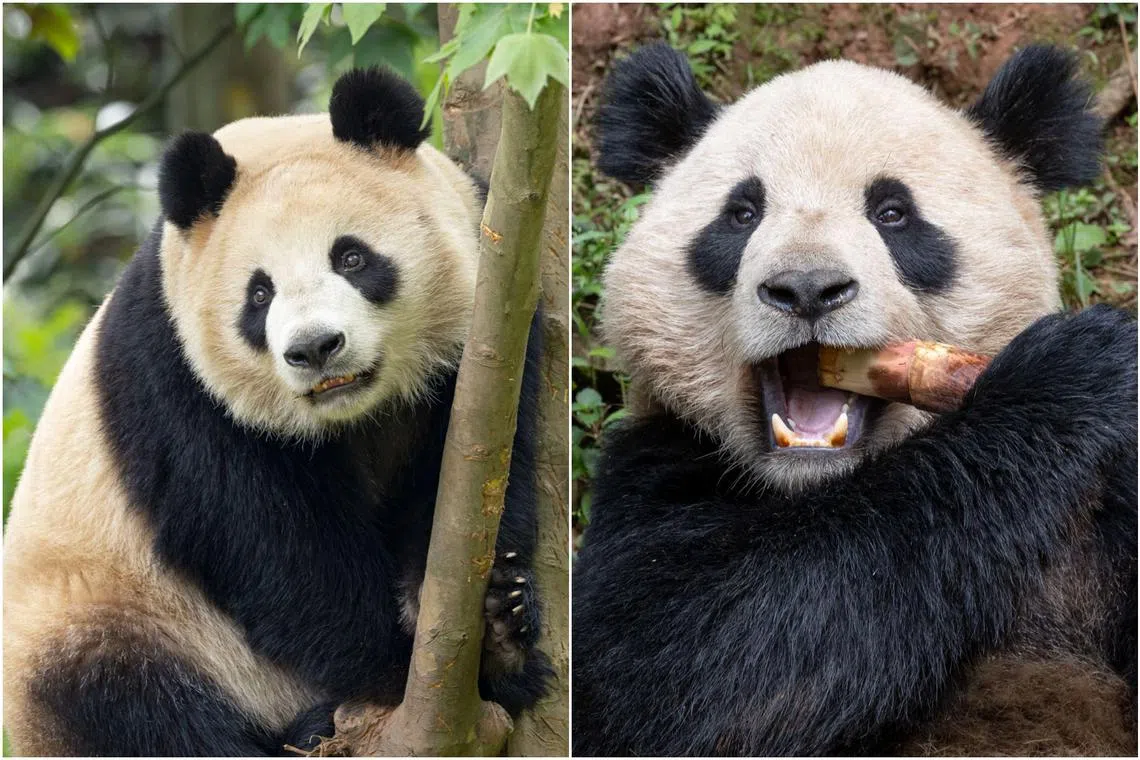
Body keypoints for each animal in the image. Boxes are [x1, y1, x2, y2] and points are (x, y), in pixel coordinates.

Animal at [3, 67, 550, 756]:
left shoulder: (492, 328)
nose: (315, 348)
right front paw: (399, 668)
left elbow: (471, 484)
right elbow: (275, 546)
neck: (356, 414)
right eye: (258, 294)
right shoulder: (177, 379)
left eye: (351, 257)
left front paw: (497, 634)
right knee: (127, 706)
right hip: (105, 614)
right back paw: (303, 730)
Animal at [572, 43, 1137, 756]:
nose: (807, 288)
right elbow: (694, 659)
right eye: (742, 214)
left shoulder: (1108, 501)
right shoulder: (656, 463)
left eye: (893, 213)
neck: (819, 487)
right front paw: (1065, 372)